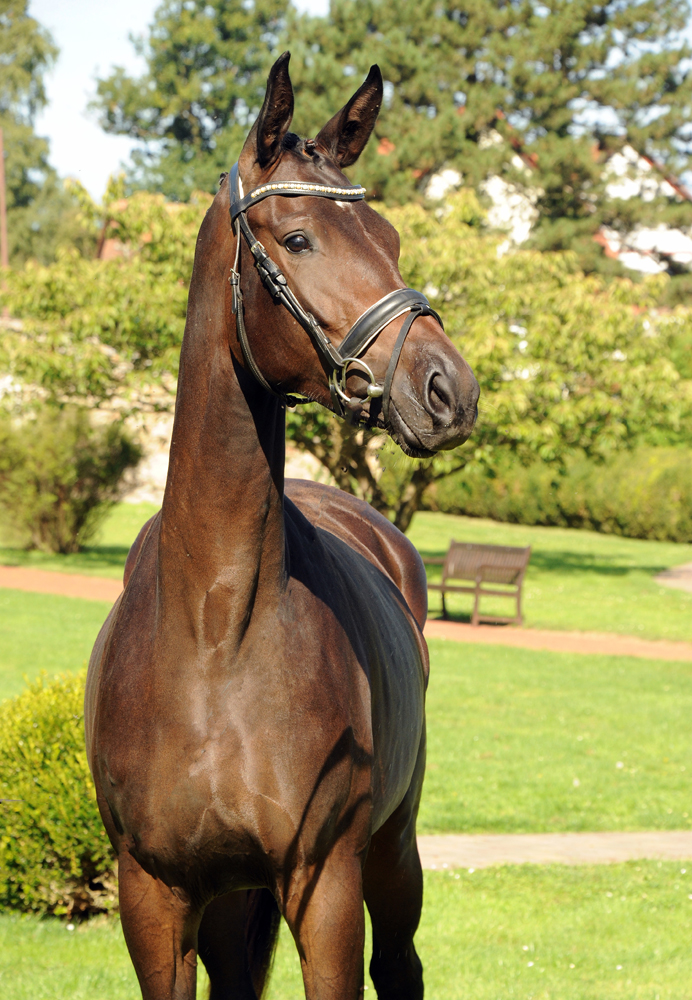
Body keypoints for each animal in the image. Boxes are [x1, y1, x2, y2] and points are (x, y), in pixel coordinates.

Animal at [84, 52, 478, 1000]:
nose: (449, 390)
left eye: (392, 239)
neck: (215, 629)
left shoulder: (326, 883)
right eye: (298, 239)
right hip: (233, 903)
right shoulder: (154, 898)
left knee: (401, 964)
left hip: (392, 851)